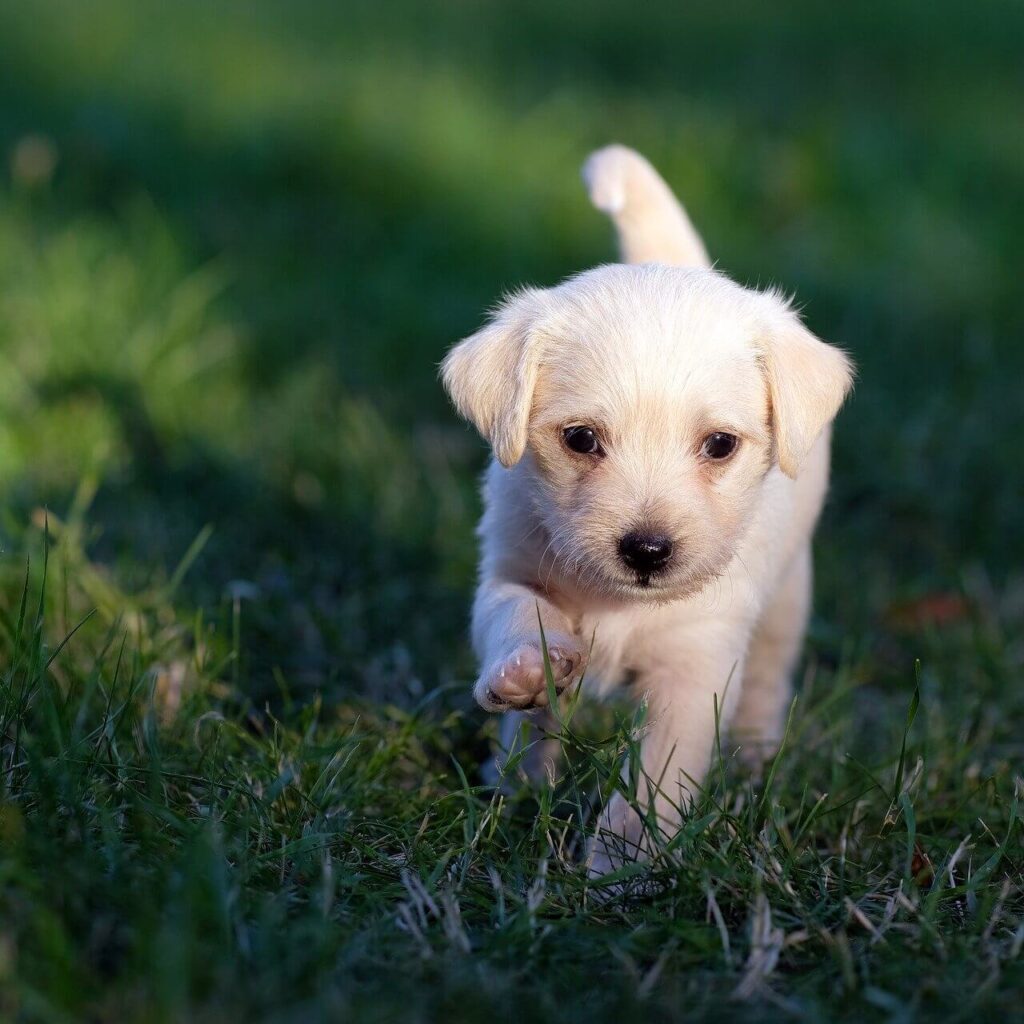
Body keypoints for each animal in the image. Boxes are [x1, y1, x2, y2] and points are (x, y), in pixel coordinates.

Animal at [444, 146, 851, 872]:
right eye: (581, 439)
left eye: (720, 445)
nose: (648, 550)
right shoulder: (510, 567)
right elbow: (516, 615)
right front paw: (527, 670)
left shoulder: (696, 668)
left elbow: (655, 780)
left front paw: (623, 867)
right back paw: (515, 779)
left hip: (787, 599)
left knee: (769, 677)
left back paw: (753, 758)